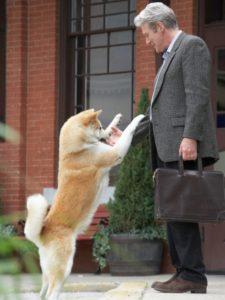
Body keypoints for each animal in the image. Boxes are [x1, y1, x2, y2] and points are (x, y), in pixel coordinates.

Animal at [24, 109, 144, 300]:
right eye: (98, 128)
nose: (105, 136)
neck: (74, 151)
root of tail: (43, 232)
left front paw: (116, 121)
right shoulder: (115, 153)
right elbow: (129, 131)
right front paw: (138, 118)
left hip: (48, 271)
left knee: (43, 292)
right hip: (64, 267)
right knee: (51, 293)